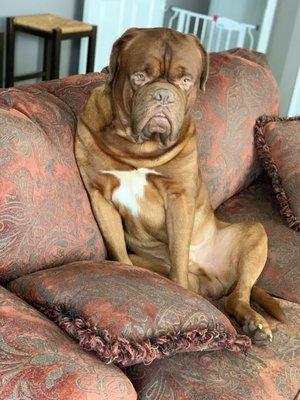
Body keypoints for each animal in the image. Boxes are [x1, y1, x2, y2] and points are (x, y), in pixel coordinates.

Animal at [76, 27, 284, 344]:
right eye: (140, 76)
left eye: (185, 81)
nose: (163, 95)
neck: (139, 148)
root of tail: (215, 280)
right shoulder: (100, 195)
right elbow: (118, 250)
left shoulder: (179, 197)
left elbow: (177, 253)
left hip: (254, 234)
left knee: (240, 293)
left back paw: (255, 323)